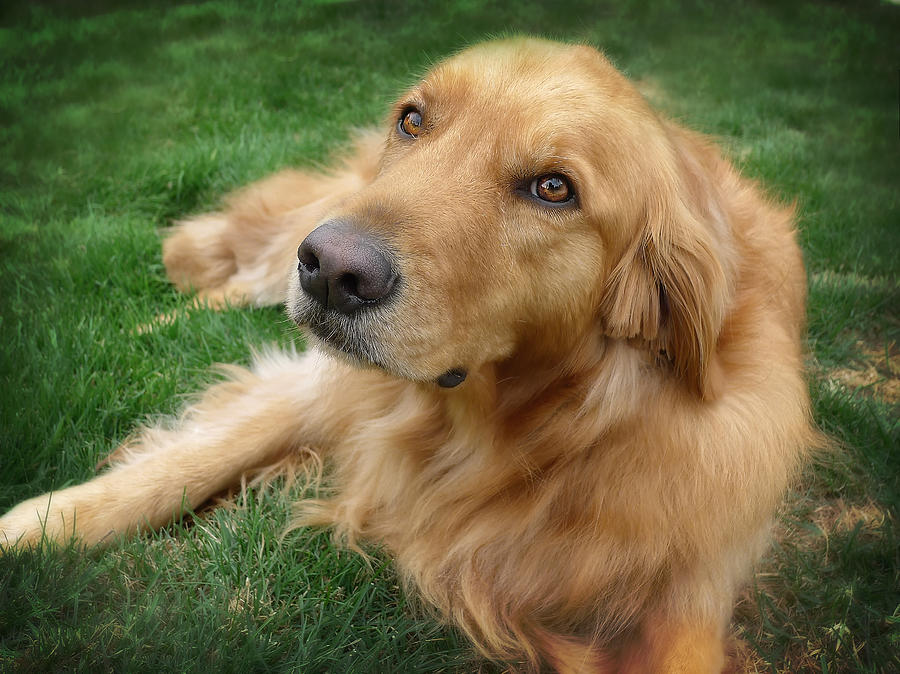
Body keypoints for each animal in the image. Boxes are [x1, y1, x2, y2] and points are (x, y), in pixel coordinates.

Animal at [0, 39, 816, 668]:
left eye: (554, 188)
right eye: (414, 120)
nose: (330, 270)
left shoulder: (689, 570)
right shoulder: (328, 384)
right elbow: (184, 463)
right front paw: (36, 528)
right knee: (234, 267)